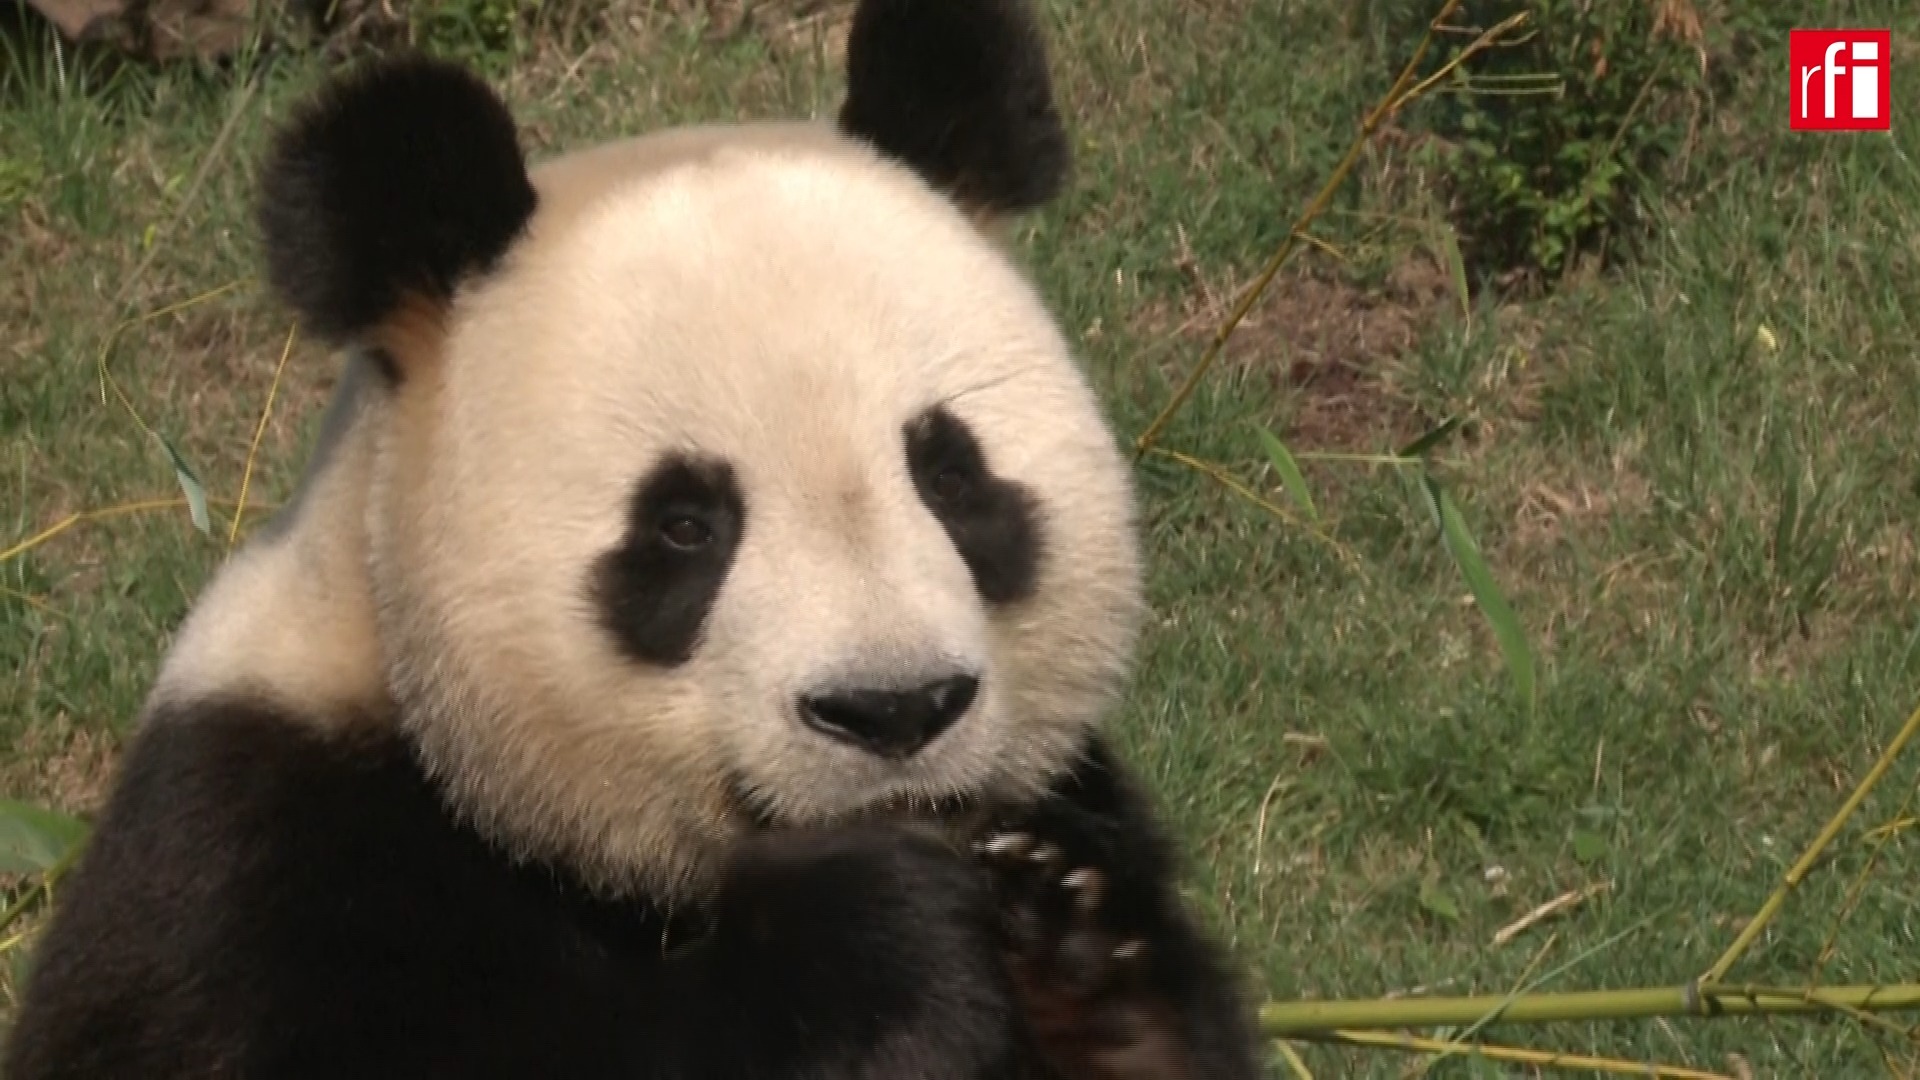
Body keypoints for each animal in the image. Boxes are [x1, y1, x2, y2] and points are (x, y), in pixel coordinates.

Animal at [3, 2, 1266, 1078]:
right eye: (685, 525)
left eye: (951, 475)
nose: (894, 710)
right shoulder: (253, 856)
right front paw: (865, 941)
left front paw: (1071, 934)